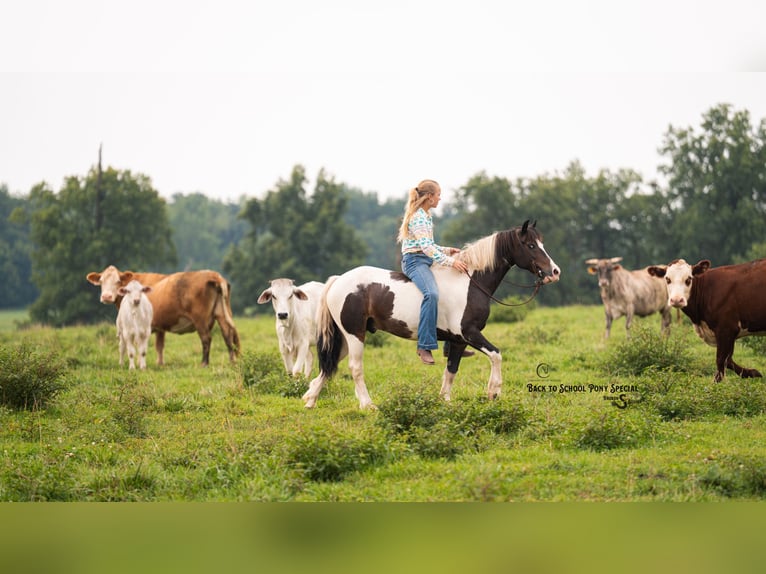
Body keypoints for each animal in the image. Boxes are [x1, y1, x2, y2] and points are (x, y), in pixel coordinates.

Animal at [303, 220, 561, 409]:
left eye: (541, 243)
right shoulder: (469, 334)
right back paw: (368, 405)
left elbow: (451, 371)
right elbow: (496, 355)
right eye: (530, 245)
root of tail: (338, 280)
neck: (470, 282)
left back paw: (310, 399)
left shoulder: (458, 341)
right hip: (355, 335)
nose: (554, 271)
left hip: (346, 337)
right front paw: (493, 391)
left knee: (329, 365)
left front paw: (444, 402)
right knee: (355, 368)